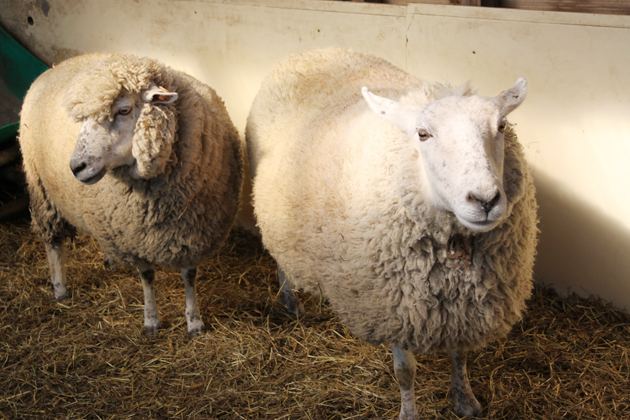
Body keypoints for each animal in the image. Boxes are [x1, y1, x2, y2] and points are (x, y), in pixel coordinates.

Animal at [18, 53, 243, 338]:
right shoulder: (134, 238)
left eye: (123, 110)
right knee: (53, 243)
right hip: (41, 191)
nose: (76, 167)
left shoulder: (191, 234)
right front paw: (151, 321)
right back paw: (59, 288)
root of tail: (52, 70)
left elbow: (189, 276)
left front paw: (194, 323)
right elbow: (147, 277)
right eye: (82, 120)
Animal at [247, 47, 540, 418]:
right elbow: (405, 372)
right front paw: (409, 413)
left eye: (501, 125)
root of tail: (311, 52)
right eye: (423, 134)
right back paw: (289, 300)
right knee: (279, 257)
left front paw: (465, 399)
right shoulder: (394, 308)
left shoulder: (463, 309)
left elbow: (459, 355)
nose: (485, 200)